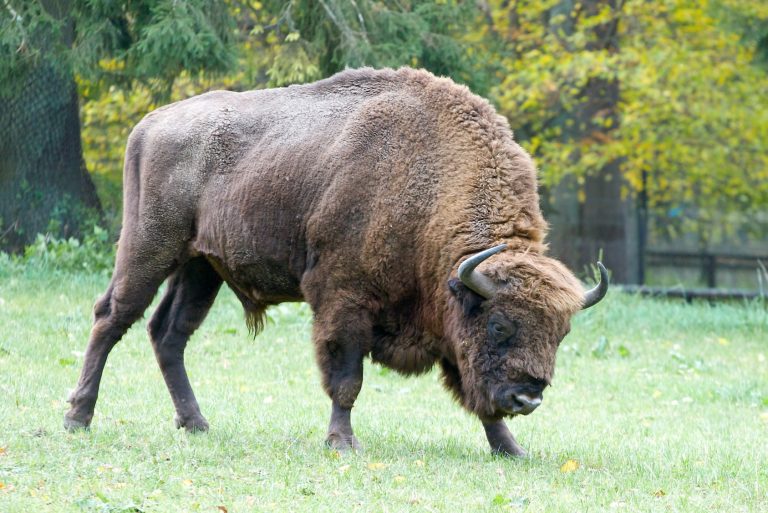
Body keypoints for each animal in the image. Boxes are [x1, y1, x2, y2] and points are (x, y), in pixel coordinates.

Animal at [64, 66, 608, 454]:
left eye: (561, 333)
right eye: (499, 325)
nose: (528, 397)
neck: (428, 182)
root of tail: (151, 122)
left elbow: (471, 389)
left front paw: (510, 448)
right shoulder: (343, 301)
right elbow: (346, 380)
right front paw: (342, 442)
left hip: (200, 267)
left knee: (169, 333)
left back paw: (196, 424)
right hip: (150, 247)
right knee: (111, 317)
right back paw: (77, 418)